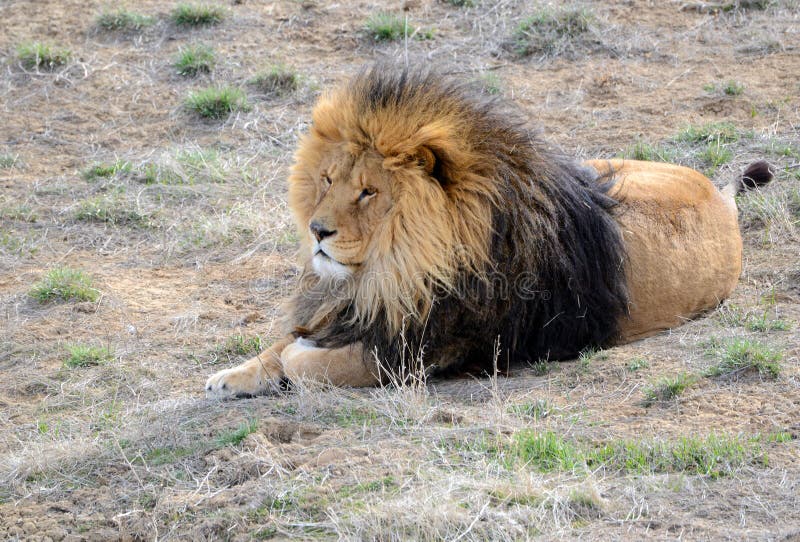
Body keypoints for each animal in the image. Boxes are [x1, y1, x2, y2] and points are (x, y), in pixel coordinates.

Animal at [206, 65, 772, 397]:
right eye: (326, 180)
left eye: (368, 192)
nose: (318, 230)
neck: (391, 270)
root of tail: (718, 195)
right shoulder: (349, 308)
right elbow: (279, 343)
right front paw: (228, 377)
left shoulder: (419, 352)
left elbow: (314, 366)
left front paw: (296, 359)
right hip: (602, 169)